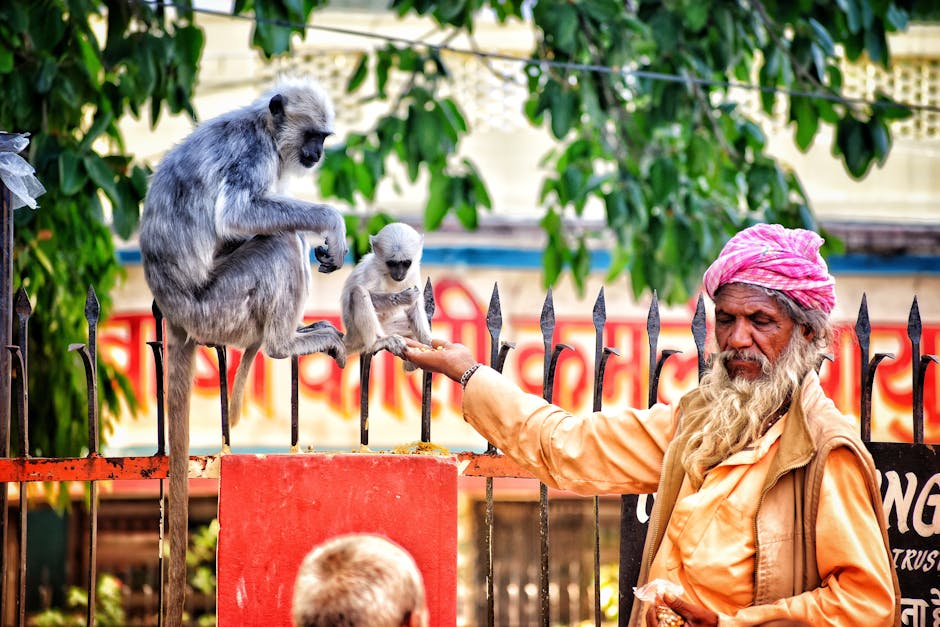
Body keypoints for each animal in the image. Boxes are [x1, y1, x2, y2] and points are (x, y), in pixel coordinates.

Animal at [138, 75, 346, 627]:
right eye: (313, 136)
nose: (317, 154)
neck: (265, 128)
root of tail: (176, 312)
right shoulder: (249, 153)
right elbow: (238, 213)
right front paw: (331, 223)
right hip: (221, 306)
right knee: (279, 243)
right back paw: (282, 342)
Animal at [342, 223, 434, 368]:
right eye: (392, 263)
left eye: (406, 263)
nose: (399, 274)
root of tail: (349, 339)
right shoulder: (372, 270)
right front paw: (403, 298)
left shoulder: (413, 272)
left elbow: (415, 308)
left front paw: (427, 341)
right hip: (357, 334)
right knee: (358, 292)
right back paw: (378, 342)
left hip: (387, 327)